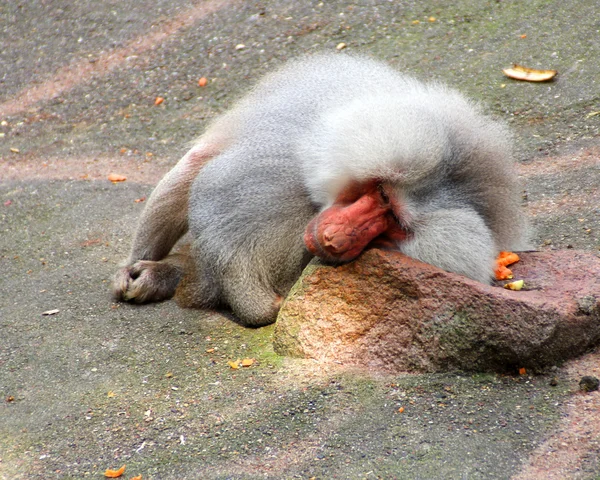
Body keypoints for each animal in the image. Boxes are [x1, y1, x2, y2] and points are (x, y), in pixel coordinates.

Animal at [113, 54, 528, 328]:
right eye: (382, 196)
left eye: (395, 225)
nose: (337, 240)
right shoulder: (273, 173)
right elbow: (221, 223)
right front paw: (264, 307)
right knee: (192, 169)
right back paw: (141, 268)